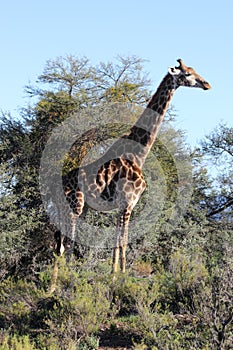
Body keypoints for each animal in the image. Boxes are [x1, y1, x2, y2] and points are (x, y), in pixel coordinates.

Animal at [55, 59, 211, 274]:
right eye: (187, 73)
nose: (207, 84)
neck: (138, 154)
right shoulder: (128, 202)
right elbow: (123, 241)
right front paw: (121, 277)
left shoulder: (123, 206)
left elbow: (117, 241)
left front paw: (114, 275)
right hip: (74, 206)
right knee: (66, 244)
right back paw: (61, 280)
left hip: (79, 208)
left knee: (60, 245)